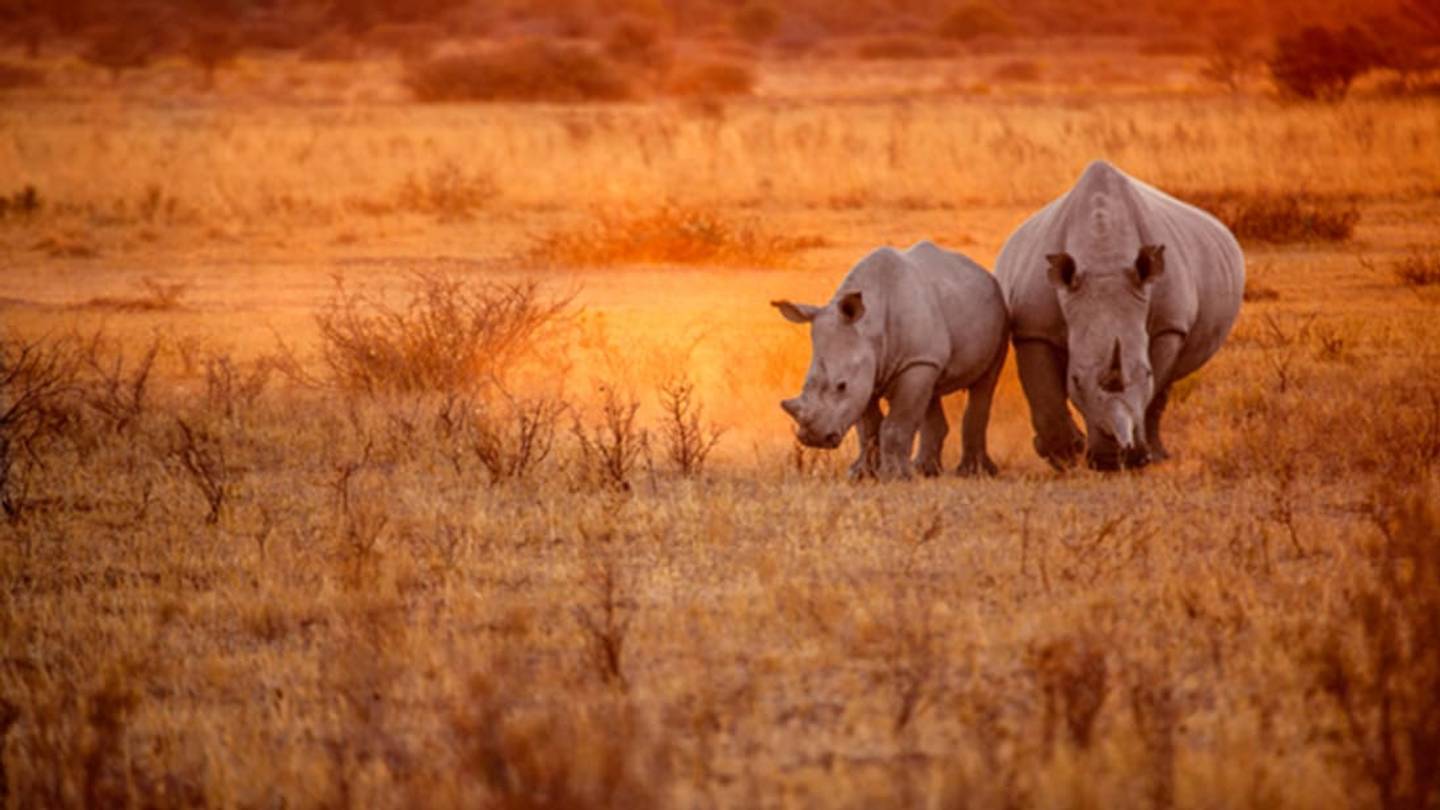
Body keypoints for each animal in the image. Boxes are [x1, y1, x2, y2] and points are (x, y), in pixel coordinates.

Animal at [772, 241, 1009, 479]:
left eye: (841, 386)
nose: (814, 439)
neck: (868, 327)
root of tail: (984, 273)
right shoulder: (870, 371)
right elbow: (868, 427)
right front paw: (861, 474)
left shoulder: (913, 362)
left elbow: (897, 423)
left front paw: (896, 476)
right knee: (931, 388)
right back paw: (925, 470)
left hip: (998, 311)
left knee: (985, 383)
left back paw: (973, 472)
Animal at [995, 160, 1245, 470]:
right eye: (1075, 380)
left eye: (1146, 373)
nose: (1112, 460)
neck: (1104, 260)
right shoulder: (1033, 328)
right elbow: (1044, 392)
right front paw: (1065, 456)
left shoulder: (1169, 324)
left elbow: (1154, 387)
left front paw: (1138, 456)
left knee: (1168, 382)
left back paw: (1158, 455)